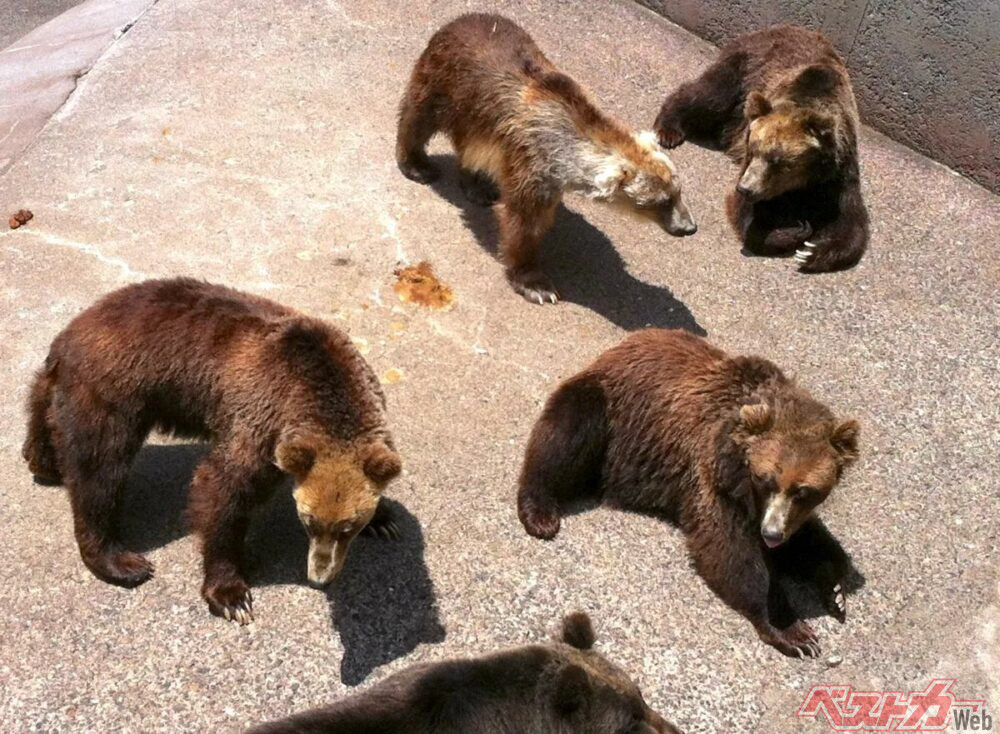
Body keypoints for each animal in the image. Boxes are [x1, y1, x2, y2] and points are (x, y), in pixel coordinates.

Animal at [20, 278, 402, 624]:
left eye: (349, 527)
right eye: (309, 521)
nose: (319, 578)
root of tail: (68, 335)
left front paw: (384, 520)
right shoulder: (260, 420)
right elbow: (223, 493)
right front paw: (232, 596)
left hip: (68, 386)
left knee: (41, 408)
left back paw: (42, 462)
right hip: (115, 388)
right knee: (100, 469)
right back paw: (121, 560)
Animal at [396, 14, 696, 308]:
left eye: (678, 191)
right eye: (661, 201)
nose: (689, 228)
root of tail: (460, 18)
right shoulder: (531, 165)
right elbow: (524, 223)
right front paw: (537, 285)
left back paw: (478, 186)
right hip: (445, 81)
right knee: (418, 116)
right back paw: (417, 165)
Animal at [516, 330, 860, 660]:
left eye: (804, 490)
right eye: (766, 479)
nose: (771, 534)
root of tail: (621, 346)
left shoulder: (779, 511)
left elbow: (808, 540)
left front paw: (835, 590)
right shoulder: (713, 480)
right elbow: (731, 552)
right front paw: (793, 631)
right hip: (609, 408)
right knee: (565, 435)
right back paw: (541, 513)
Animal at [652, 25, 872, 274]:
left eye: (777, 160)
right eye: (754, 150)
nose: (745, 188)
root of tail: (776, 27)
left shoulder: (838, 173)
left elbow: (850, 223)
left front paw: (809, 253)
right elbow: (748, 215)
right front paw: (793, 231)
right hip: (744, 68)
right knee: (709, 95)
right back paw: (669, 130)